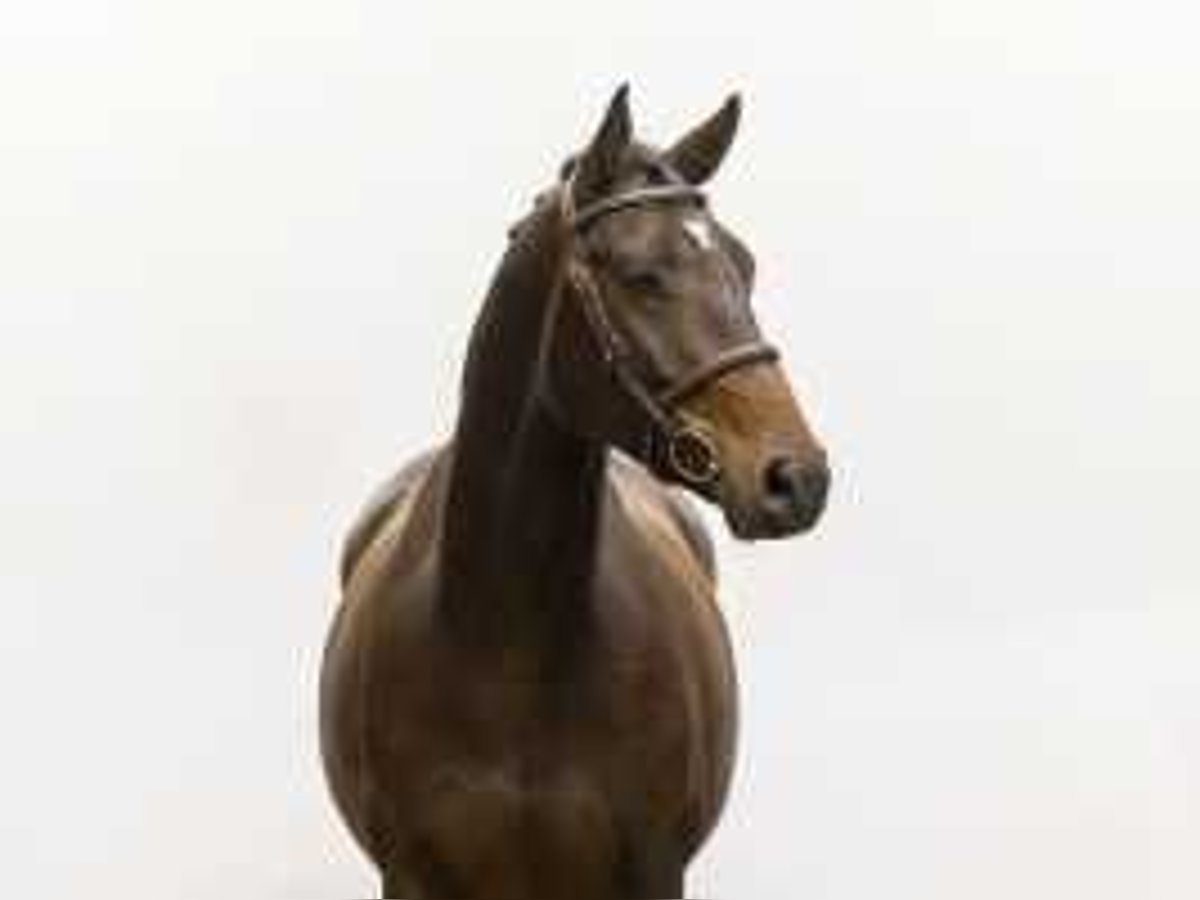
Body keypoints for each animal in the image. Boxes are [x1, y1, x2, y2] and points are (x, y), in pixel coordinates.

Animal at [316, 86, 835, 900]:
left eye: (744, 266)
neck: (505, 641)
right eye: (642, 274)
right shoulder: (410, 874)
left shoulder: (653, 869)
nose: (797, 477)